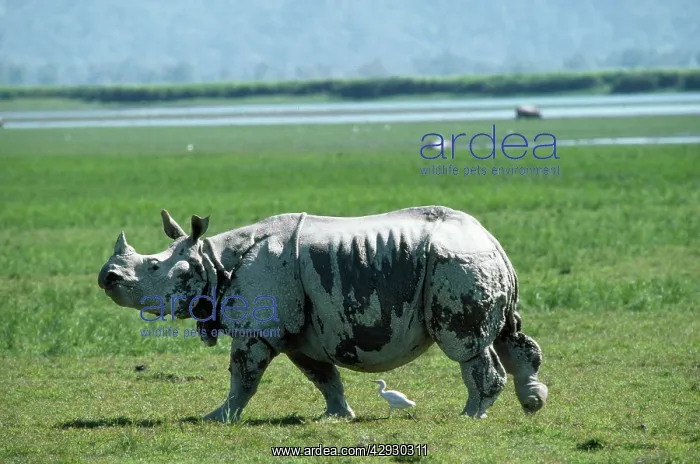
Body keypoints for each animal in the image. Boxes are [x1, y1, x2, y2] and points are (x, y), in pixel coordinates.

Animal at [97, 205, 548, 422]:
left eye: (153, 267)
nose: (107, 277)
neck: (212, 260)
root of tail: (490, 239)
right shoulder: (301, 332)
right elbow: (322, 375)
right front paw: (337, 416)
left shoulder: (258, 328)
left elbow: (243, 376)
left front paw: (217, 418)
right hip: (476, 262)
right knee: (508, 334)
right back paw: (532, 403)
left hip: (454, 263)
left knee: (466, 345)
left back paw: (471, 416)